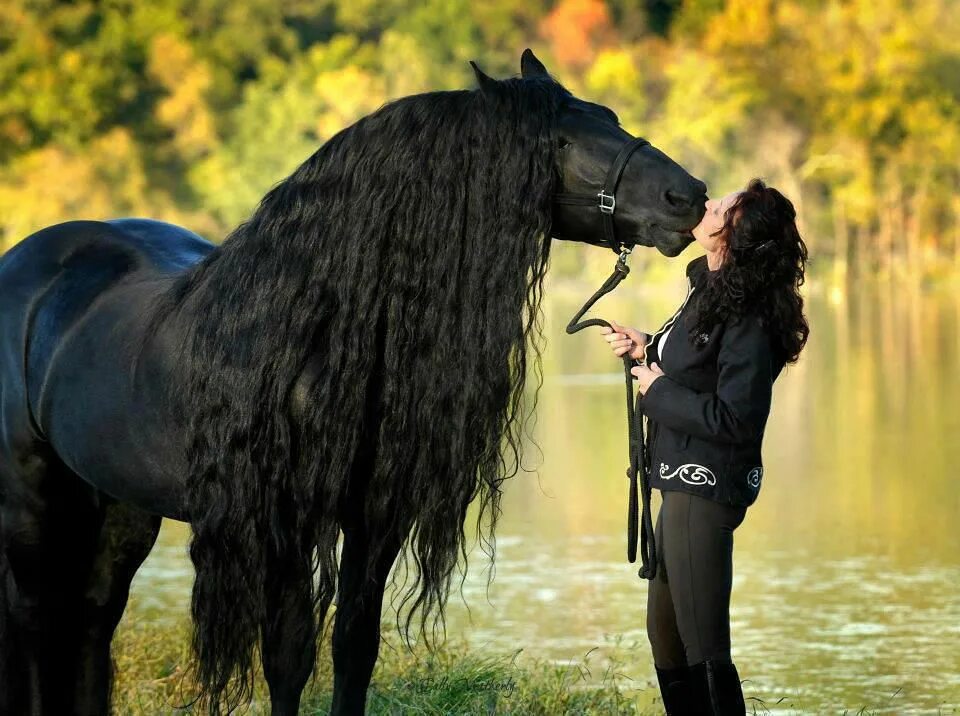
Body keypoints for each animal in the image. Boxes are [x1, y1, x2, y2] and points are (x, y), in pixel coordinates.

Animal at [0, 51, 704, 716]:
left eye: (609, 117)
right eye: (560, 140)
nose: (689, 197)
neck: (316, 328)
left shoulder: (377, 515)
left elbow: (354, 645)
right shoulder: (284, 520)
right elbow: (288, 654)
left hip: (118, 505)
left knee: (93, 618)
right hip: (32, 501)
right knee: (34, 619)